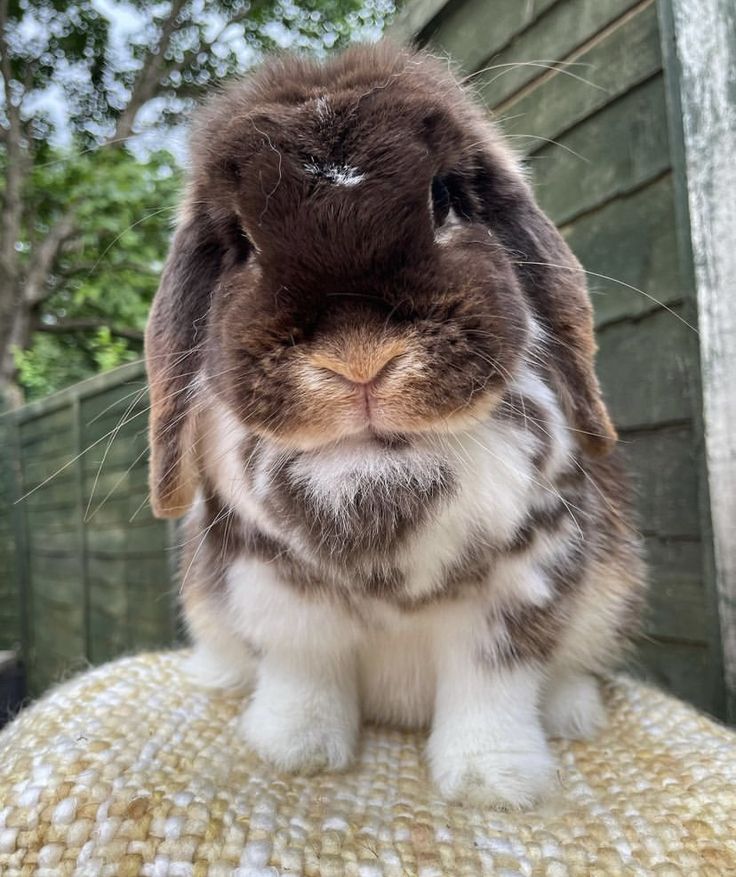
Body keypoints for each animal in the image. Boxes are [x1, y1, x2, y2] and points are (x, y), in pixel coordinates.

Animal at [144, 41, 644, 808]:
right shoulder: (279, 602)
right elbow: (303, 679)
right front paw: (294, 753)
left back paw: (571, 711)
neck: (377, 477)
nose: (359, 359)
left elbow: (492, 689)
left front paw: (492, 782)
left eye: (446, 197)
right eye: (241, 242)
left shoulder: (517, 597)